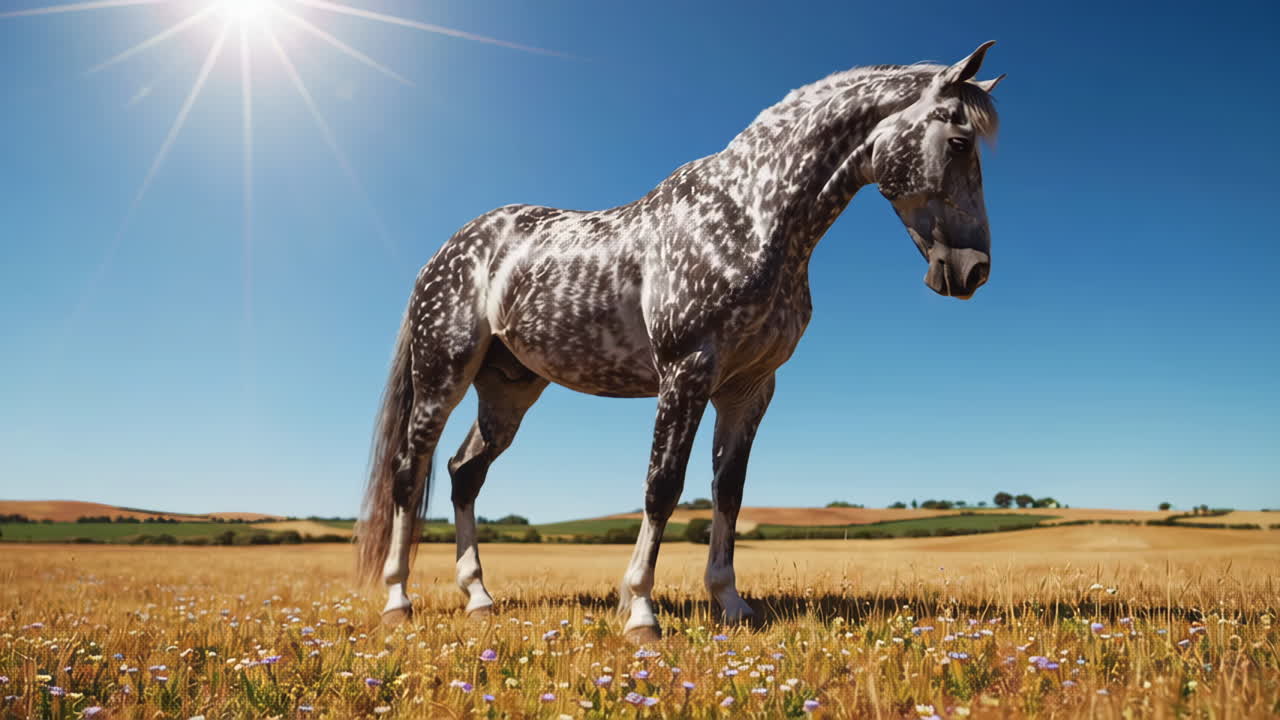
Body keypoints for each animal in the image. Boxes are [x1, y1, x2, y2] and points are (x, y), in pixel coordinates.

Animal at [356, 42, 1004, 643]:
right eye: (959, 143)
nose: (972, 272)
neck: (751, 218)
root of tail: (447, 252)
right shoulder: (686, 372)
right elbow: (662, 487)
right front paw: (641, 609)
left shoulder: (749, 388)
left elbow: (728, 493)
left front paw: (731, 602)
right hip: (442, 374)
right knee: (409, 473)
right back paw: (398, 600)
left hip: (508, 389)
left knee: (464, 473)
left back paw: (479, 597)